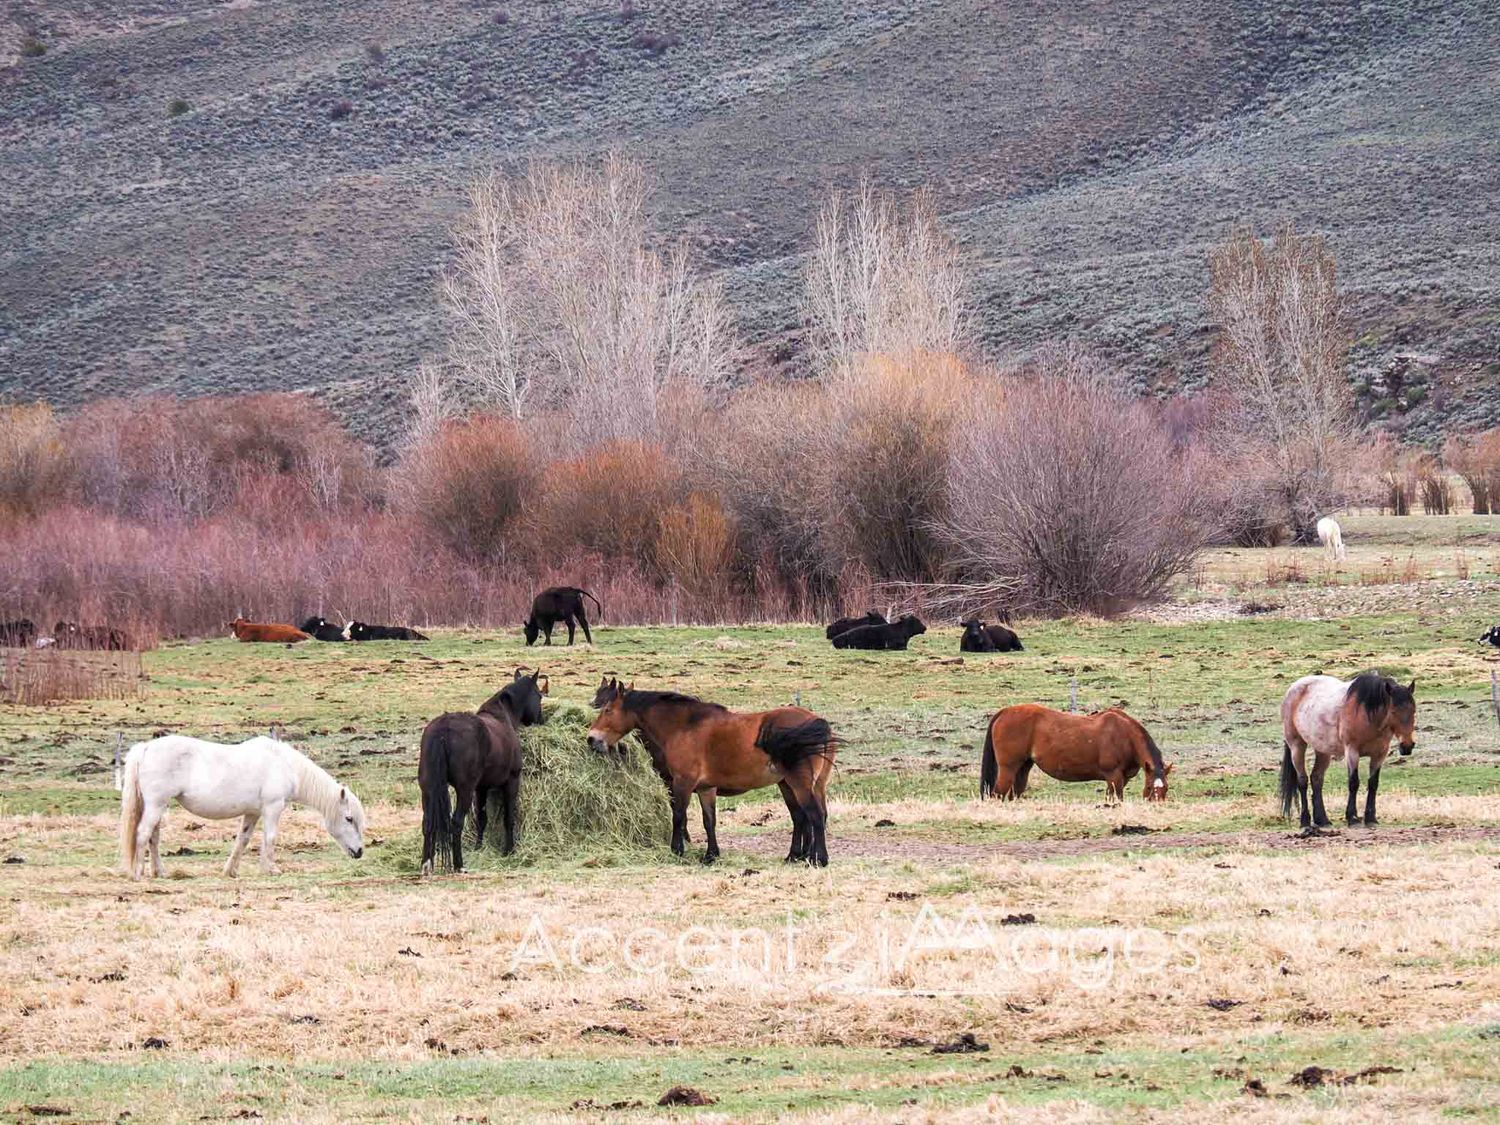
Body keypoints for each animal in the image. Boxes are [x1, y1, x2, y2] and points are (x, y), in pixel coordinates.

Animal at [119, 735, 365, 880]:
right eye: (349, 818)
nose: (360, 852)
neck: (285, 765)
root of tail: (146, 748)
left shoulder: (253, 813)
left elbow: (242, 840)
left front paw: (231, 871)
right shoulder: (272, 808)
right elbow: (270, 838)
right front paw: (271, 869)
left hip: (158, 807)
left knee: (153, 838)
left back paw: (160, 872)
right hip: (156, 805)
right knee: (143, 834)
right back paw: (137, 873)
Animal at [418, 668, 547, 874]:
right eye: (539, 695)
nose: (541, 720)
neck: (503, 717)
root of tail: (444, 728)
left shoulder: (481, 788)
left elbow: (481, 818)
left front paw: (479, 848)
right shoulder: (512, 781)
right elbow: (508, 818)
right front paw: (509, 850)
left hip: (428, 789)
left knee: (428, 823)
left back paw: (426, 865)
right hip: (464, 790)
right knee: (456, 823)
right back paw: (459, 865)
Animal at [588, 678, 838, 865]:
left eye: (607, 709)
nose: (592, 739)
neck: (684, 727)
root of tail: (818, 722)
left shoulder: (682, 783)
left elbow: (678, 816)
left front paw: (677, 850)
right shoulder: (705, 788)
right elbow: (709, 820)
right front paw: (711, 855)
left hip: (799, 784)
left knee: (815, 816)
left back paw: (819, 859)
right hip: (797, 784)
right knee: (805, 817)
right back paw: (796, 856)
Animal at [980, 704, 1171, 802]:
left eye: (1166, 788)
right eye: (1149, 787)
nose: (1156, 805)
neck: (1124, 734)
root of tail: (1005, 712)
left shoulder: (1122, 779)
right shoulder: (1114, 776)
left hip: (1023, 767)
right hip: (1008, 768)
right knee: (998, 793)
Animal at [1279, 672, 1416, 828]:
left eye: (1413, 711)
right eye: (1393, 711)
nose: (1407, 745)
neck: (1367, 713)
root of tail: (1293, 689)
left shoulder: (1379, 754)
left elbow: (1373, 784)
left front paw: (1371, 818)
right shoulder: (1352, 752)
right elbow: (1353, 783)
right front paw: (1353, 818)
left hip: (1323, 751)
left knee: (1316, 779)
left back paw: (1323, 820)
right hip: (1297, 746)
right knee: (1303, 781)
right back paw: (1305, 821)